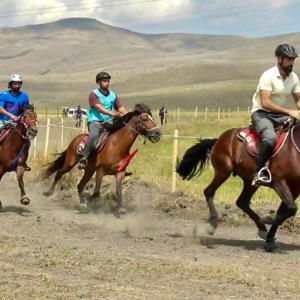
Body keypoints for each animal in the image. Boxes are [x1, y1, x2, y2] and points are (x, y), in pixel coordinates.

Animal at [177, 120, 300, 252]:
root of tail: (220, 138)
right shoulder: (279, 182)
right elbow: (291, 209)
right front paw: (267, 218)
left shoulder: (294, 188)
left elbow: (287, 210)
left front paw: (270, 240)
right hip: (224, 171)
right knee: (209, 191)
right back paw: (212, 224)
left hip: (250, 181)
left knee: (242, 202)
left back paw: (262, 229)